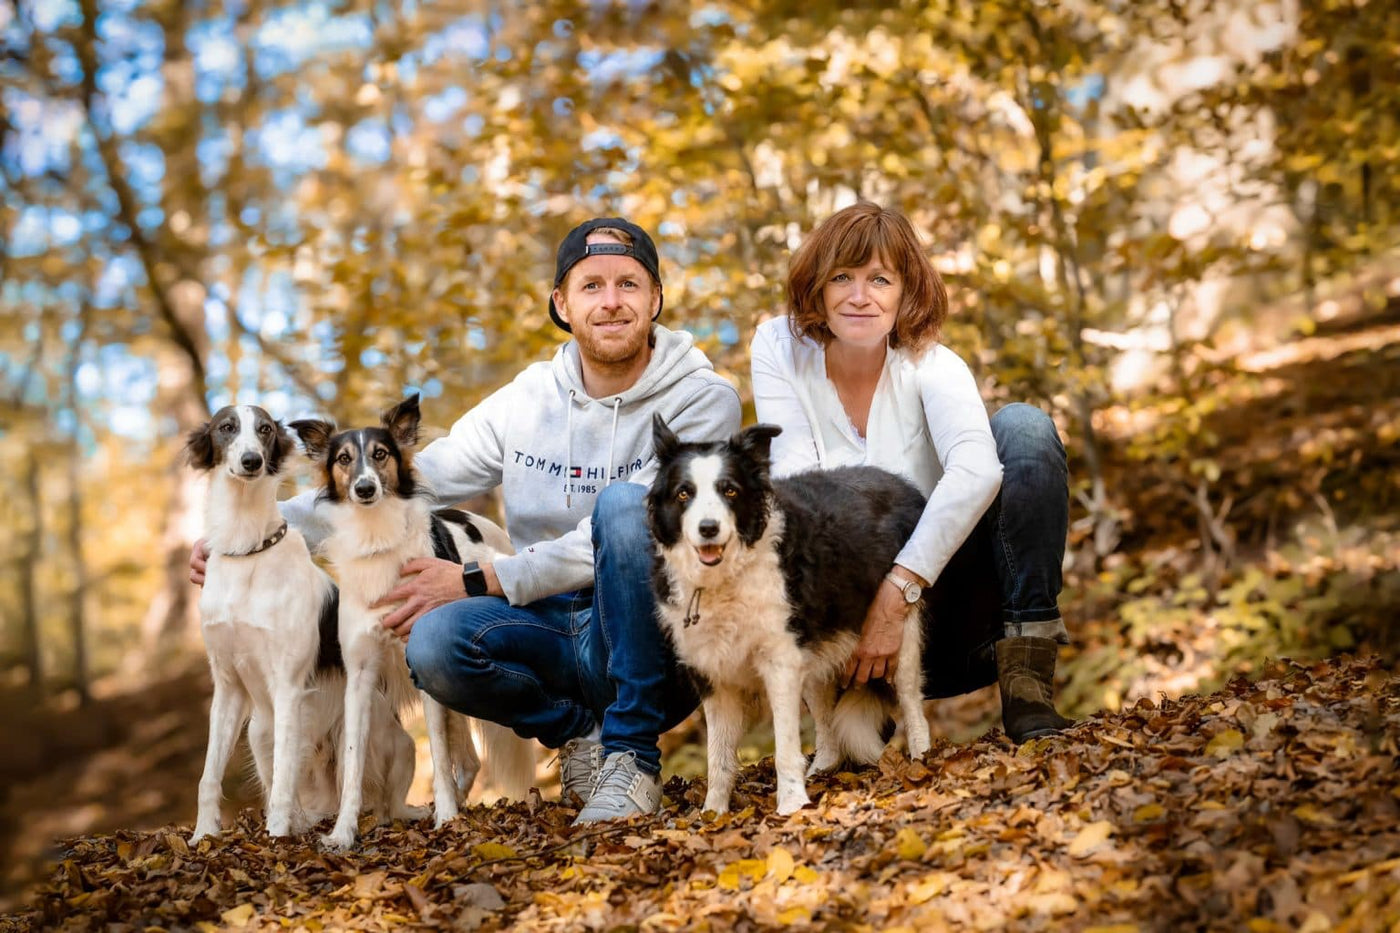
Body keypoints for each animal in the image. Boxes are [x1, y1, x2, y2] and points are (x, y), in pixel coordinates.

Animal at [180, 403, 411, 840]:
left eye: (265, 430)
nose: (251, 461)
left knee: (374, 799)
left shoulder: (288, 685)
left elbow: (284, 777)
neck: (246, 550)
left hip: (354, 730)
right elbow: (208, 776)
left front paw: (275, 836)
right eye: (226, 427)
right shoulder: (227, 683)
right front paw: (203, 835)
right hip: (257, 730)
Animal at [292, 395, 532, 851]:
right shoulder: (360, 675)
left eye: (381, 454)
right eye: (344, 459)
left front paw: (447, 817)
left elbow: (437, 752)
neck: (376, 536)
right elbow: (352, 764)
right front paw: (343, 831)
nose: (365, 488)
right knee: (468, 760)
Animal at [649, 414, 935, 812]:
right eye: (683, 494)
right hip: (816, 648)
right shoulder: (715, 676)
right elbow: (718, 757)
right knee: (826, 715)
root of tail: (898, 481)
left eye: (730, 491)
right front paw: (713, 813)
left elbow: (784, 745)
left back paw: (922, 759)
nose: (708, 529)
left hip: (899, 627)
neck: (724, 579)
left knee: (910, 700)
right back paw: (824, 767)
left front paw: (792, 805)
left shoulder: (779, 661)